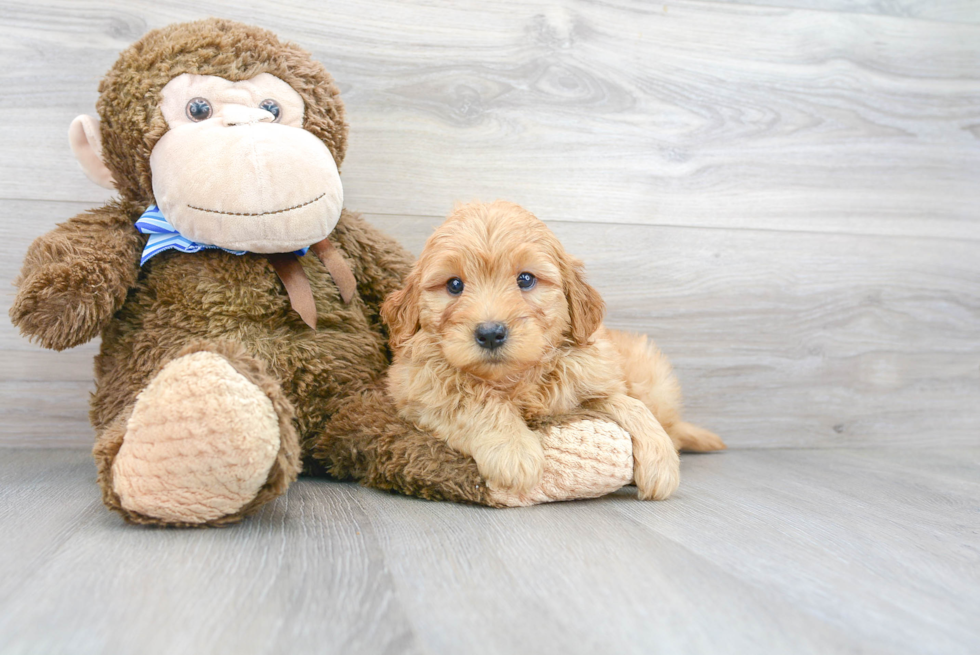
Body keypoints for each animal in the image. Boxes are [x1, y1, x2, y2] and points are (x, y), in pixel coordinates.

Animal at [378, 202, 724, 500]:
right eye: (454, 285)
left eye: (526, 279)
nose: (490, 334)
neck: (516, 378)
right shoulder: (416, 386)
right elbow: (471, 397)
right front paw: (513, 449)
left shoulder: (590, 378)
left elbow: (628, 403)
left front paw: (661, 460)